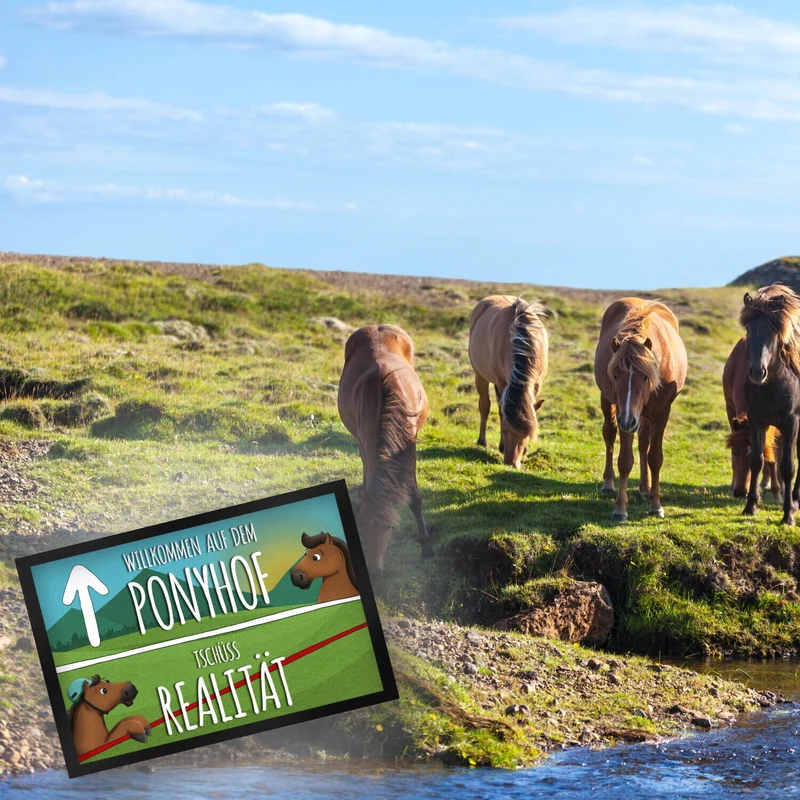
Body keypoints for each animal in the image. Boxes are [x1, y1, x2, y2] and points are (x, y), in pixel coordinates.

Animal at [337, 324, 433, 575]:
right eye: (361, 525)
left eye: (389, 527)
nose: (374, 569)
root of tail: (377, 325)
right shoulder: (365, 441)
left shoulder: (409, 448)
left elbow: (415, 498)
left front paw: (426, 547)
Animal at [468, 296, 548, 469]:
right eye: (504, 431)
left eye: (527, 435)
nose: (511, 463)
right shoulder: (501, 380)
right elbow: (499, 410)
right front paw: (501, 446)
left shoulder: (537, 383)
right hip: (480, 375)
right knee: (485, 405)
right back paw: (482, 441)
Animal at [594, 298, 687, 521]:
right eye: (615, 375)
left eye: (645, 377)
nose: (628, 421)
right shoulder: (624, 413)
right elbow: (625, 460)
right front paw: (620, 509)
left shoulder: (661, 412)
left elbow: (655, 457)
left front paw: (656, 505)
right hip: (610, 404)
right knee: (609, 434)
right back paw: (608, 484)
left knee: (644, 442)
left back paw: (645, 487)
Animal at [722, 336, 782, 500]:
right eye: (735, 452)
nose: (741, 492)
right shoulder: (731, 412)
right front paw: (731, 487)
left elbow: (772, 458)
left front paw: (776, 494)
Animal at [740, 284, 800, 525]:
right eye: (748, 329)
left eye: (774, 331)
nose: (758, 372)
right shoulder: (757, 421)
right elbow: (757, 461)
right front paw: (750, 507)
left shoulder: (792, 422)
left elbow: (788, 467)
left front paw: (788, 516)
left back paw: (795, 500)